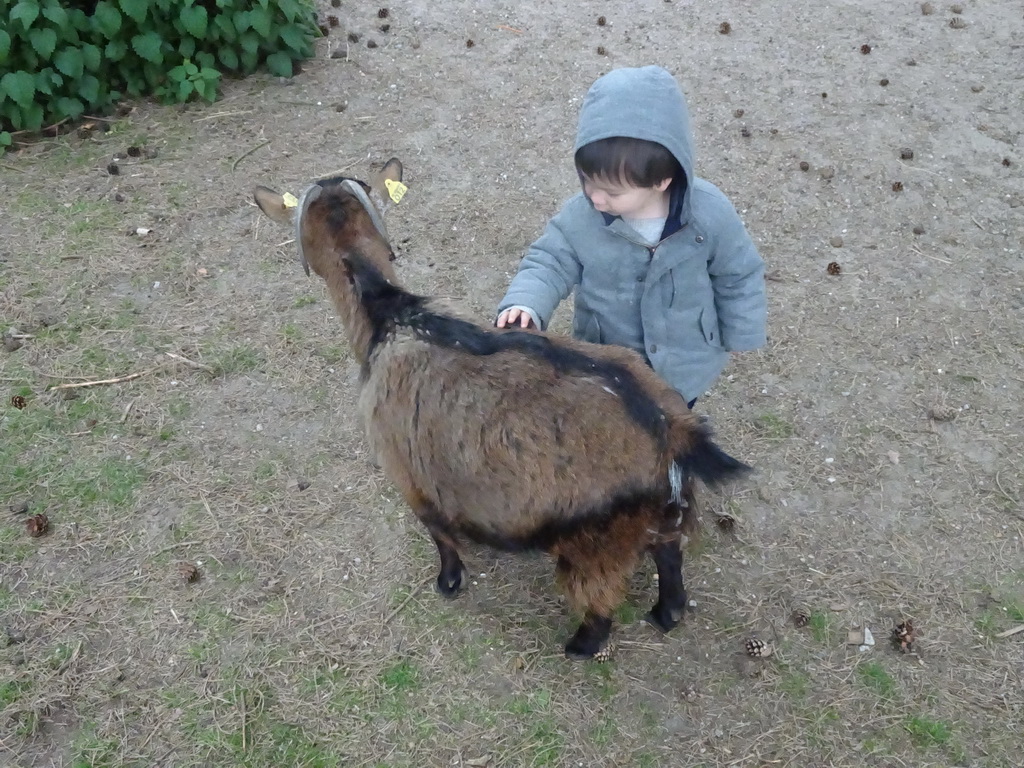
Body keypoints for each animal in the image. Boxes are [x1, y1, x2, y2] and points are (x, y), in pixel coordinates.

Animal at [253, 160, 753, 663]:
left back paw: (579, 645)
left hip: (594, 540)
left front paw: (449, 581)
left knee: (601, 603)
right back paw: (666, 613)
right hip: (663, 512)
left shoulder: (410, 478)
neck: (392, 319)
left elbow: (440, 534)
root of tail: (672, 432)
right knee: (670, 554)